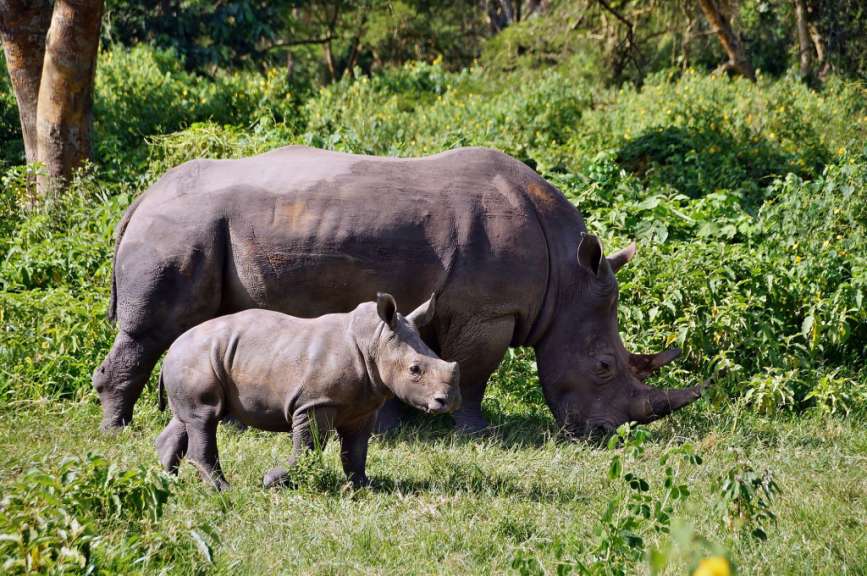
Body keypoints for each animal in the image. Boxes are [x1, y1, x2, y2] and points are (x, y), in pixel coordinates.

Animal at [94, 145, 703, 435]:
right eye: (603, 367)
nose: (606, 433)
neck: (566, 278)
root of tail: (140, 199)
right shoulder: (488, 310)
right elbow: (474, 372)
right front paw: (474, 432)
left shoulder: (450, 305)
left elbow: (429, 362)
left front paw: (404, 422)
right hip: (180, 229)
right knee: (154, 330)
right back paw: (118, 429)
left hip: (194, 226)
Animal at [156, 293, 459, 489]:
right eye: (415, 370)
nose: (450, 402)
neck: (375, 341)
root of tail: (172, 347)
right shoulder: (315, 403)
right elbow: (310, 445)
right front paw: (272, 481)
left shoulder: (362, 407)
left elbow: (356, 448)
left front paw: (363, 487)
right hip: (196, 356)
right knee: (205, 417)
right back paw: (222, 490)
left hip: (197, 358)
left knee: (190, 418)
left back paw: (168, 482)